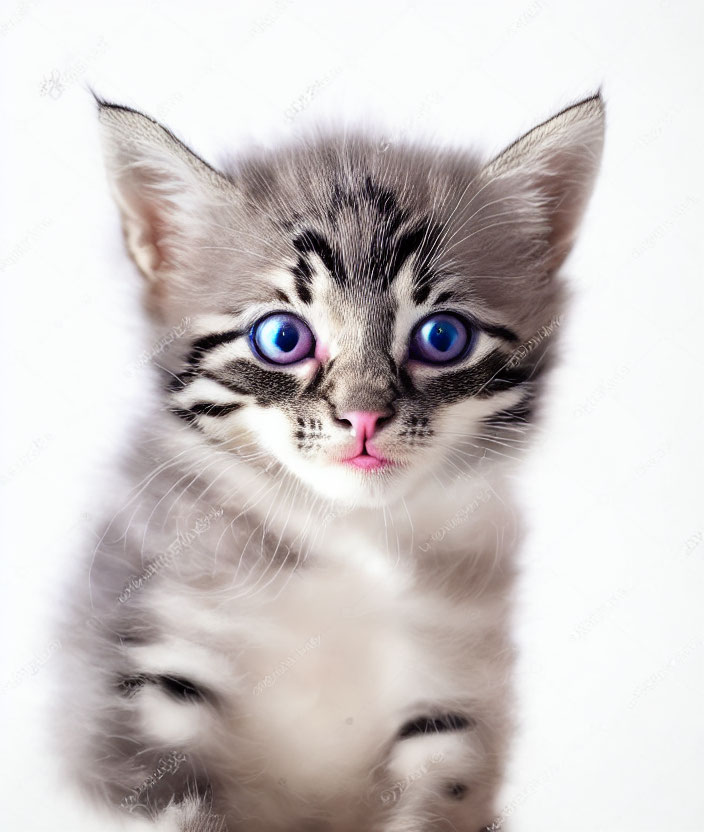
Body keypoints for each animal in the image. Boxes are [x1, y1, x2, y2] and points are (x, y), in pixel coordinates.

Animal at [56, 94, 604, 828]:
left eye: (442, 336)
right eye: (282, 337)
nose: (364, 417)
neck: (341, 536)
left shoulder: (456, 694)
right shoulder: (142, 674)